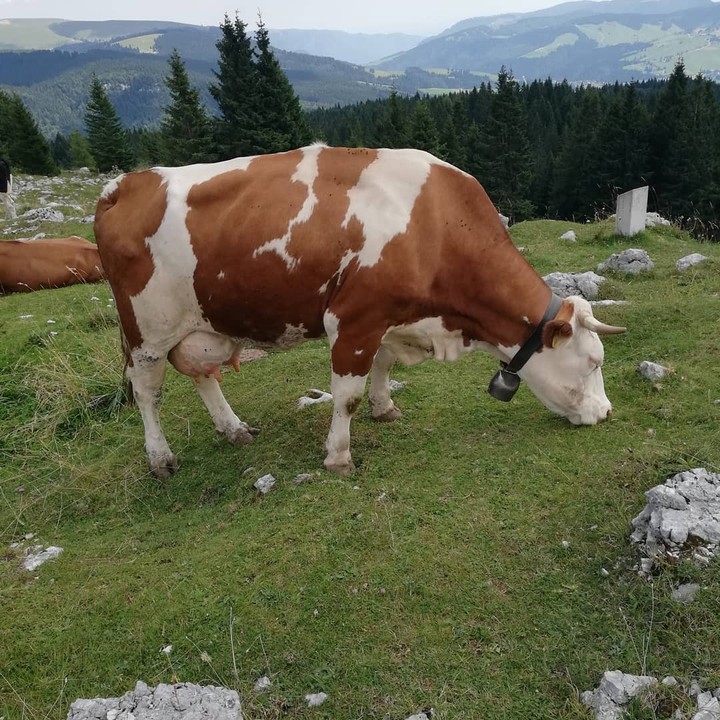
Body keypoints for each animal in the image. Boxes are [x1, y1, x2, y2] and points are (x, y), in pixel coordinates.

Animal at [94, 144, 626, 478]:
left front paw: (384, 407)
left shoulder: (390, 318)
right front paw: (339, 457)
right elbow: (345, 395)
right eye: (592, 362)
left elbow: (384, 366)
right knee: (147, 393)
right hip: (146, 329)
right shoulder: (354, 320)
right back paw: (160, 459)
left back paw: (234, 429)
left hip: (201, 323)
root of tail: (126, 183)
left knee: (202, 373)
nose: (605, 412)